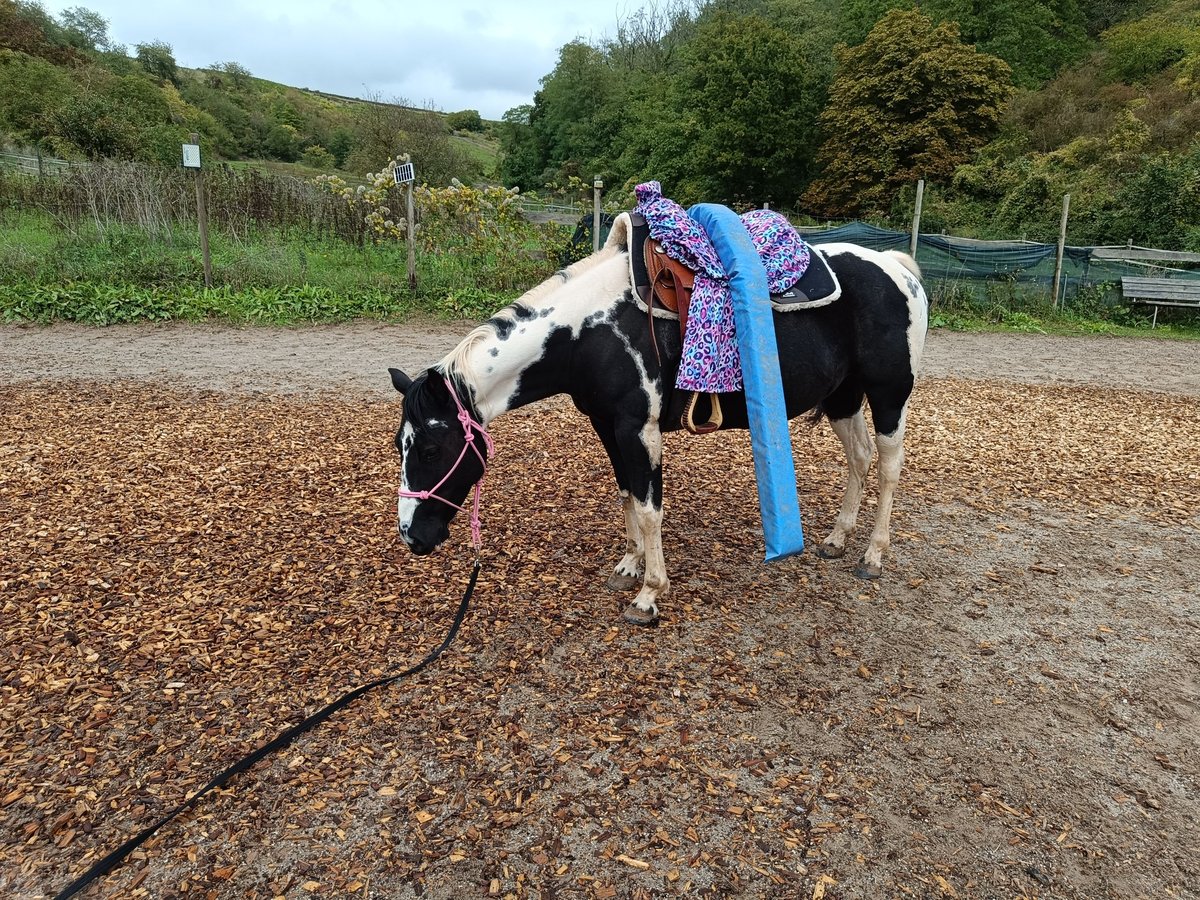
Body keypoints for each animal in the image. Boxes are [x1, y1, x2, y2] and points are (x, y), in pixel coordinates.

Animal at [388, 217, 928, 625]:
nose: (413, 537)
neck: (591, 331)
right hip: (843, 398)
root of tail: (898, 269)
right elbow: (628, 493)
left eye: (432, 448)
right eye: (401, 445)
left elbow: (650, 509)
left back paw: (873, 555)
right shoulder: (607, 426)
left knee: (888, 466)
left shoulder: (638, 430)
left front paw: (649, 594)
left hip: (889, 396)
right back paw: (837, 540)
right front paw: (629, 565)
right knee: (859, 459)